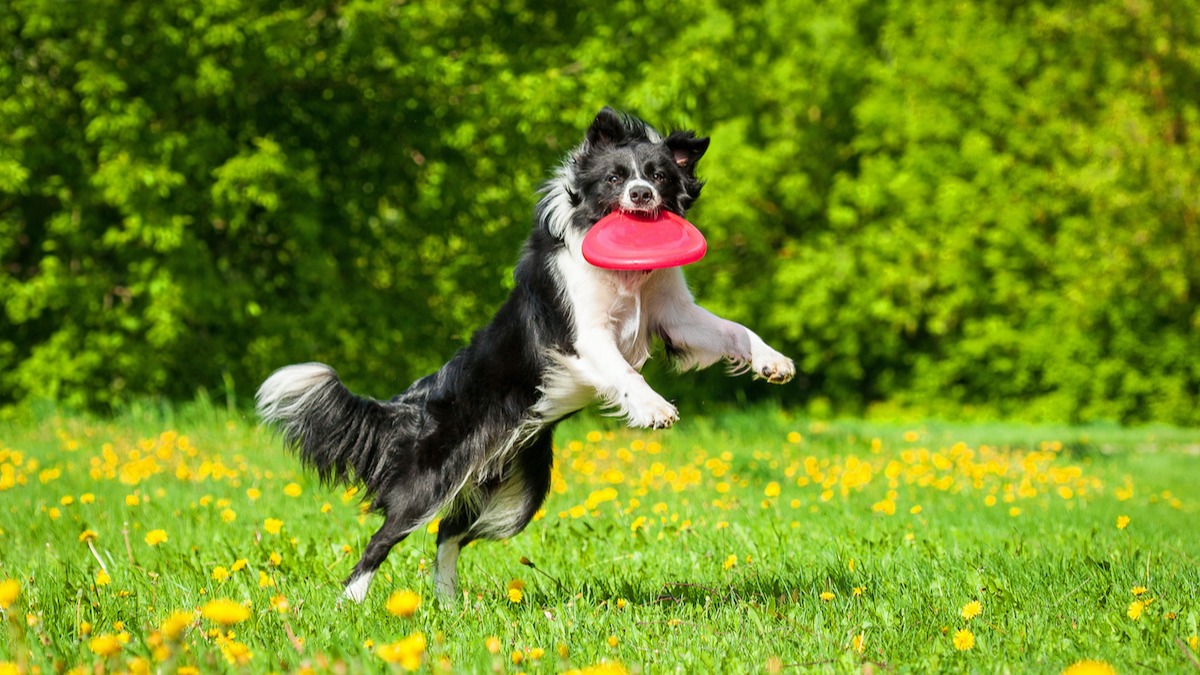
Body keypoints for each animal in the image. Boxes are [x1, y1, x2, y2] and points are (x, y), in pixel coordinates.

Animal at [258, 107, 792, 600]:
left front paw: (773, 362)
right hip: (433, 479)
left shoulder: (674, 314)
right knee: (383, 538)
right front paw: (654, 408)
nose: (641, 195)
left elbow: (733, 331)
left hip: (516, 490)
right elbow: (624, 371)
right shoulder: (585, 334)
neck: (629, 279)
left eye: (659, 175)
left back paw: (449, 605)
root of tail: (412, 404)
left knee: (448, 533)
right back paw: (352, 602)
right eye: (615, 178)